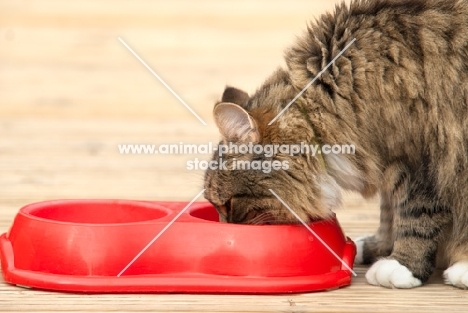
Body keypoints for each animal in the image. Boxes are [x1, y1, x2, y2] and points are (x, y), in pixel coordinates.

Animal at [203, 0, 468, 288]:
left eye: (228, 203)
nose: (225, 229)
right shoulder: (386, 163)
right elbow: (389, 212)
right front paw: (379, 247)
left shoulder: (419, 158)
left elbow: (414, 217)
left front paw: (403, 265)